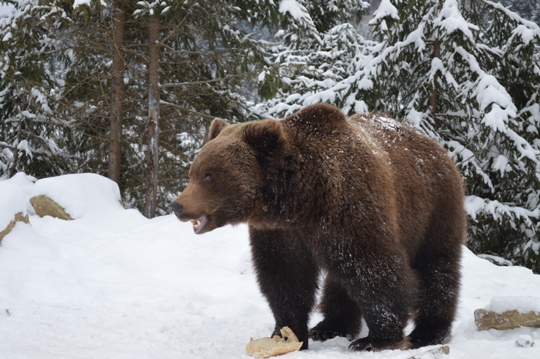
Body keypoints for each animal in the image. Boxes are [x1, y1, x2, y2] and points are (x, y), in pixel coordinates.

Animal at [171, 103, 466, 352]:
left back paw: (428, 333)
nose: (178, 205)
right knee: (339, 281)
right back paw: (329, 327)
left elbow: (375, 269)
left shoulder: (350, 209)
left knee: (436, 269)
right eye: (193, 172)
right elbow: (286, 278)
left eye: (210, 175)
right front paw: (287, 333)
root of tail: (436, 147)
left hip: (433, 209)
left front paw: (377, 339)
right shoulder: (281, 234)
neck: (300, 202)